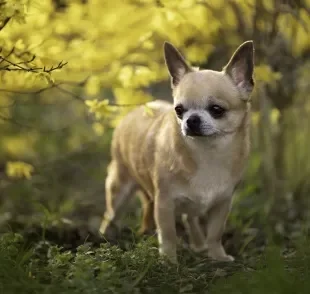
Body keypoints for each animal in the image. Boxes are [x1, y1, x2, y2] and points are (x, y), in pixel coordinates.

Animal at [100, 40, 256, 262]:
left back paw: (198, 245)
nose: (191, 120)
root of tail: (135, 110)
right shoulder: (164, 203)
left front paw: (217, 257)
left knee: (190, 218)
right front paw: (168, 261)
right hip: (119, 187)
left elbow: (215, 233)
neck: (207, 153)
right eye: (179, 110)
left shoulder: (222, 203)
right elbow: (168, 235)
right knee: (110, 215)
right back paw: (105, 239)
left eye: (217, 110)